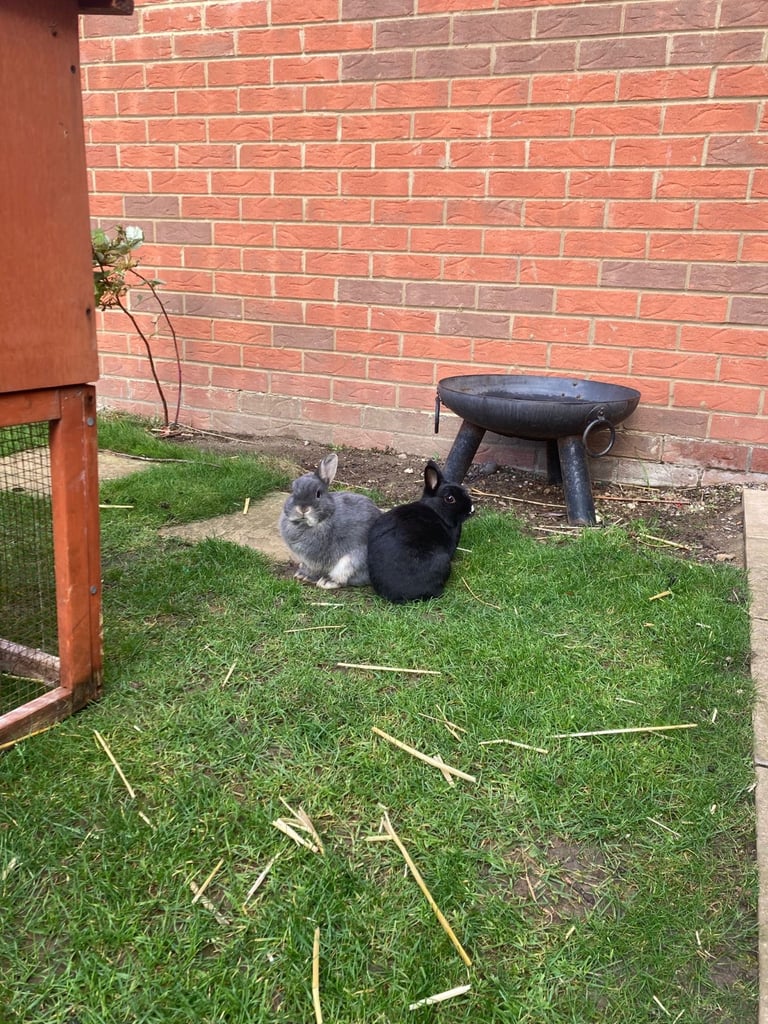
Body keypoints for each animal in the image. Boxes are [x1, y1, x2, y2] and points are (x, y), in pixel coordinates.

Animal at [279, 452, 382, 588]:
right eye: (293, 491)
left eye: (318, 494)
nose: (303, 509)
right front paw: (300, 573)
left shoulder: (315, 560)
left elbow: (314, 570)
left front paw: (306, 576)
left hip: (351, 561)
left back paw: (326, 582)